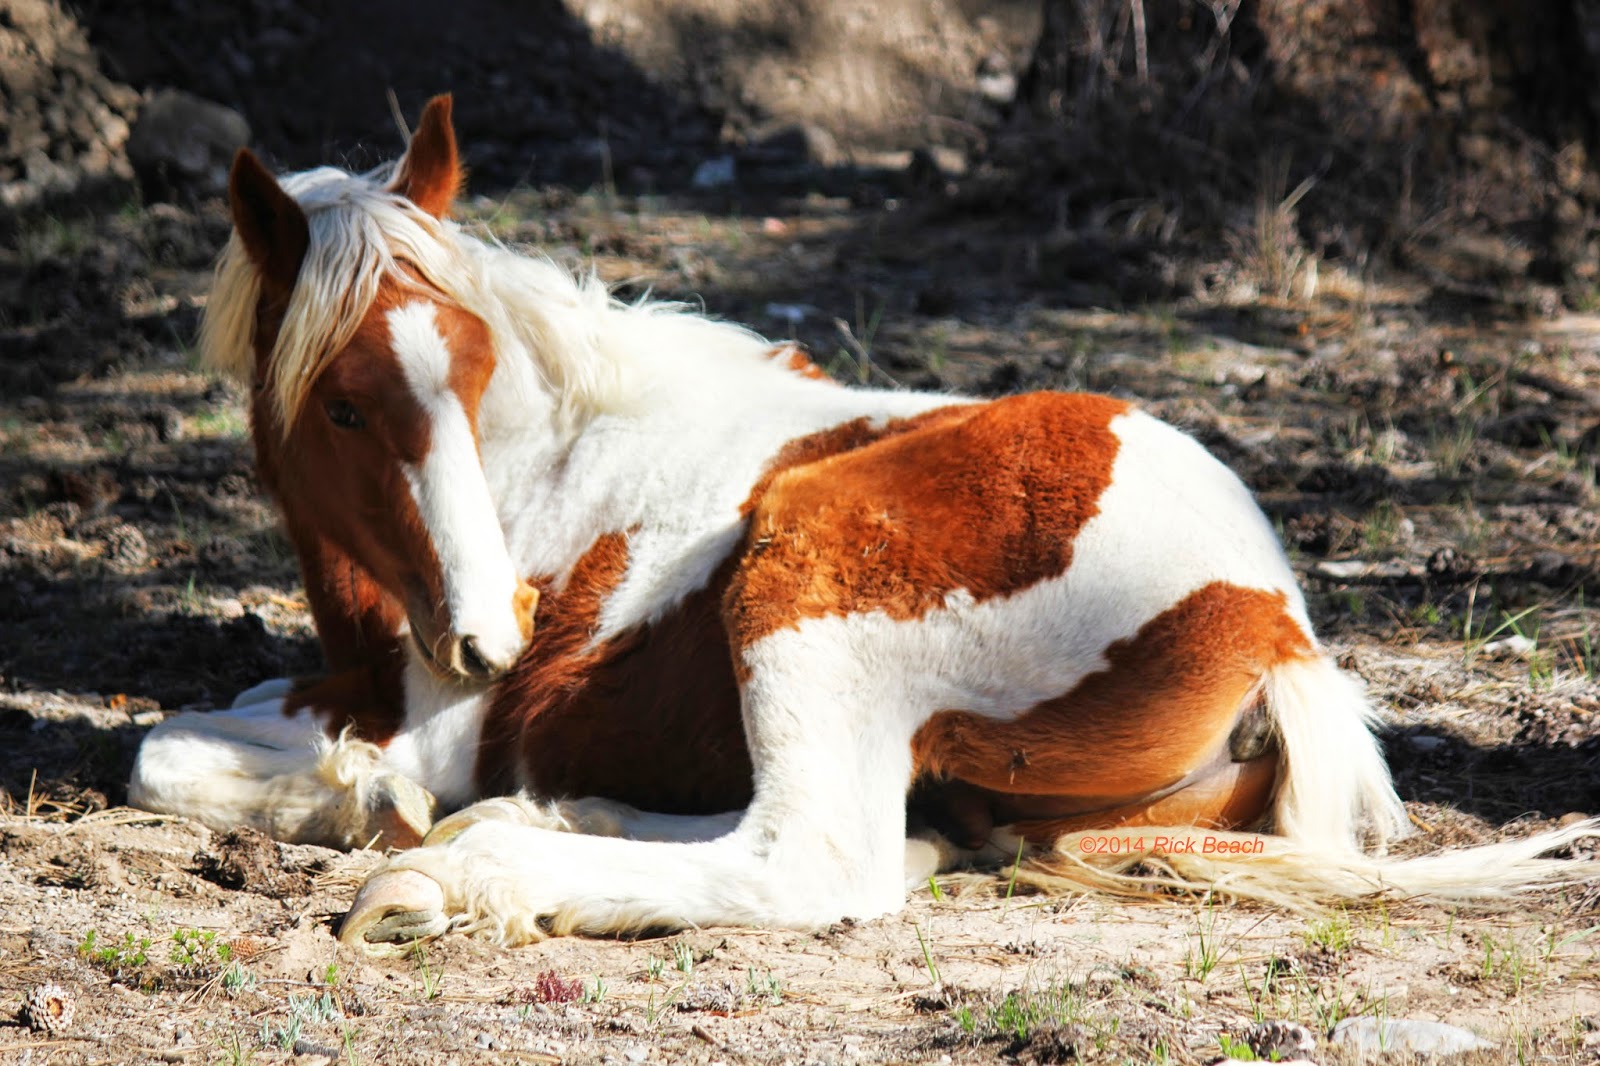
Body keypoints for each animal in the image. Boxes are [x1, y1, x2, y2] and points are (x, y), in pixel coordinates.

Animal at [129, 95, 1598, 951]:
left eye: (478, 371)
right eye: (344, 408)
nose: (495, 635)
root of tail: (1272, 628)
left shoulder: (439, 721)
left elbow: (161, 753)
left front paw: (369, 803)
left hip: (813, 576)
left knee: (822, 859)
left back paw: (466, 873)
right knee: (892, 838)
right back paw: (547, 820)